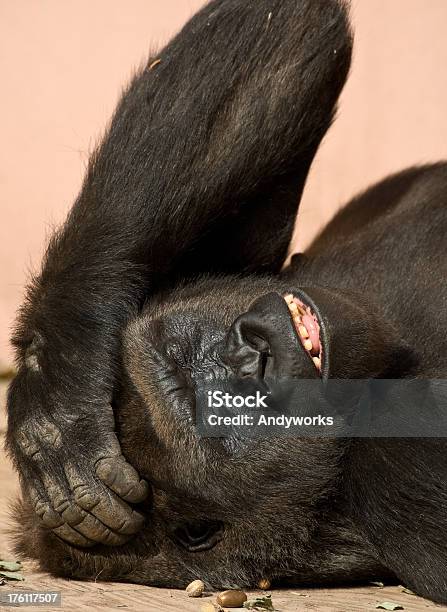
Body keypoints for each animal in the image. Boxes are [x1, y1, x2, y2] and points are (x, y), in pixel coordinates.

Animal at [5, 0, 447, 604]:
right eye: (216, 412)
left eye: (179, 354)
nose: (251, 355)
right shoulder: (397, 476)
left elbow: (287, 33)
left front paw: (55, 387)